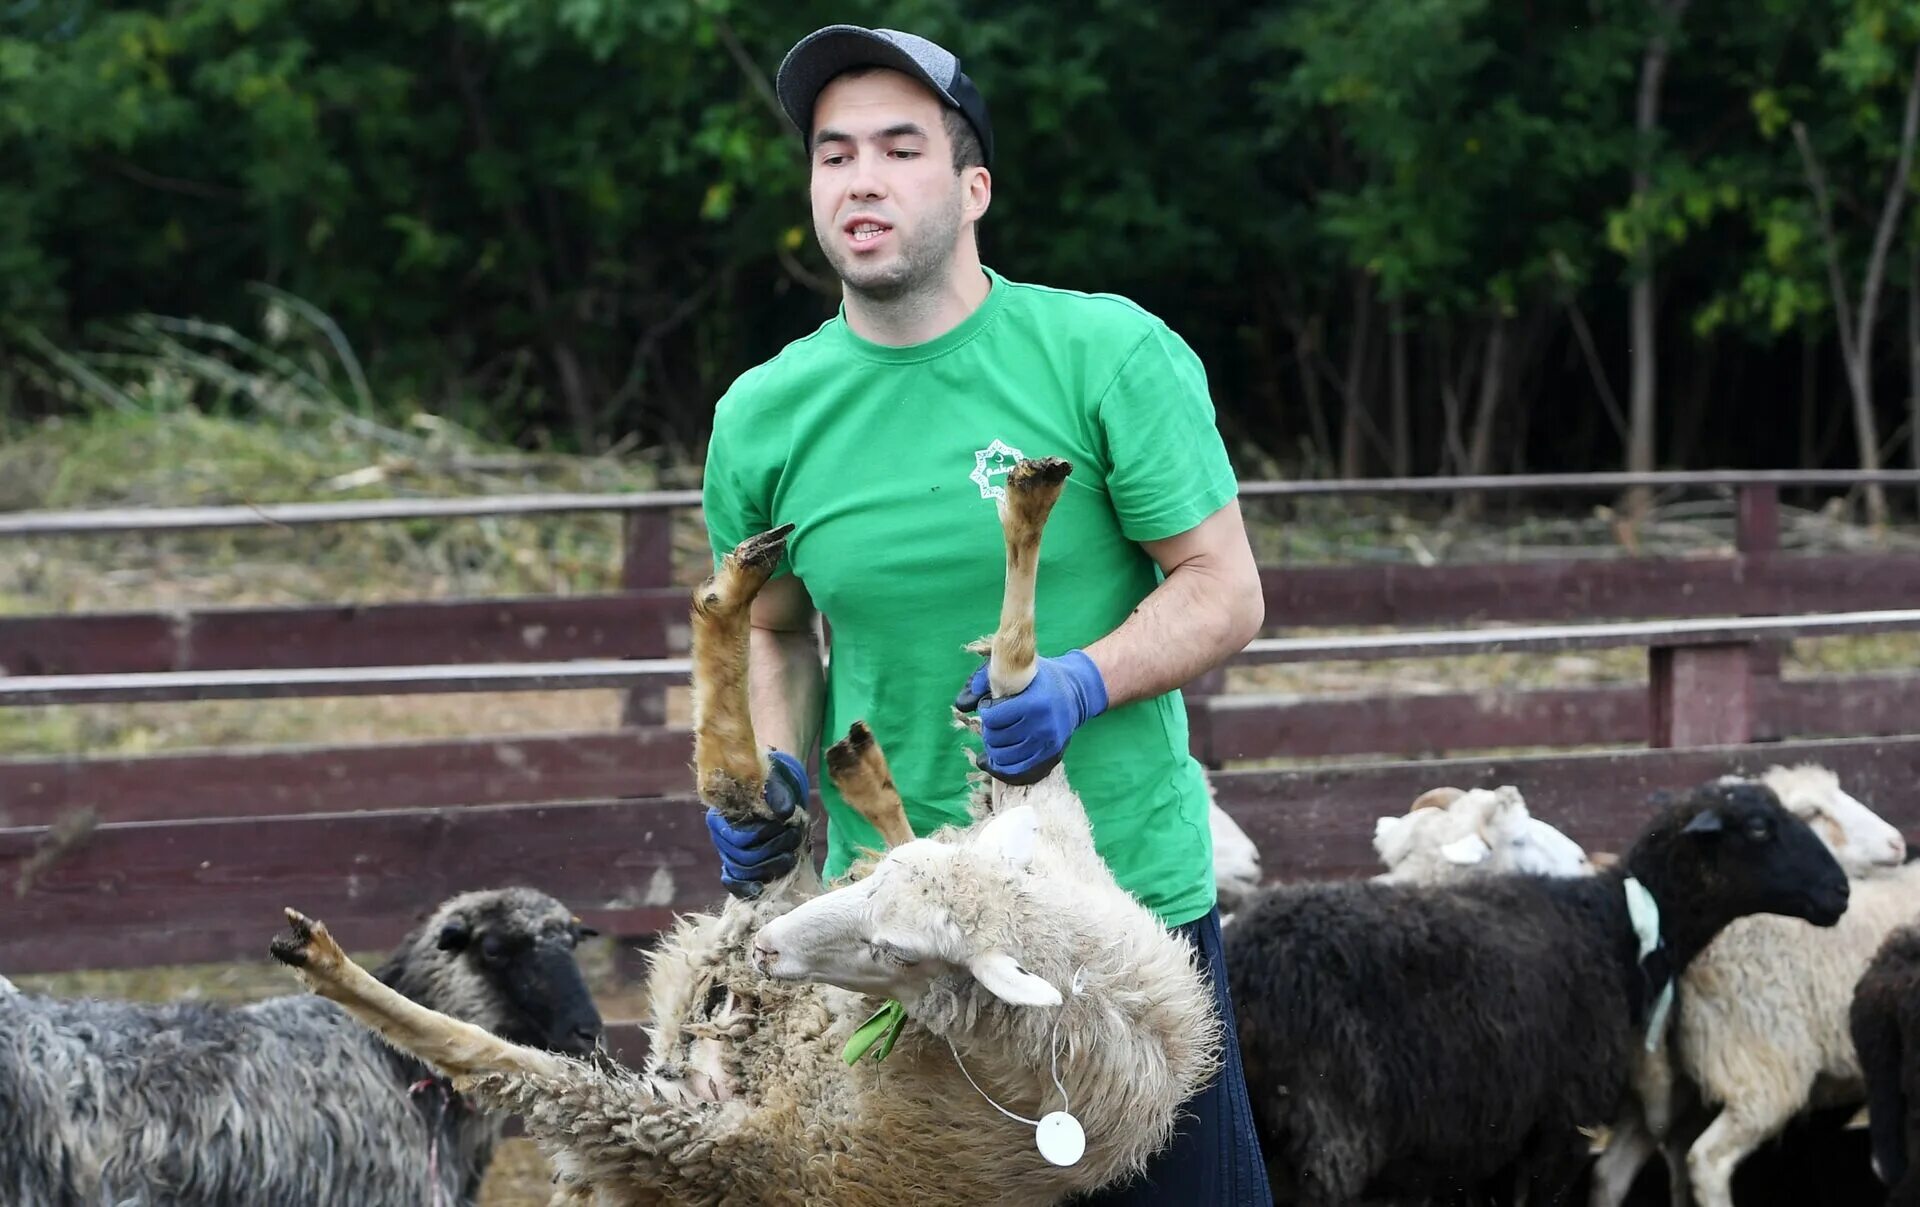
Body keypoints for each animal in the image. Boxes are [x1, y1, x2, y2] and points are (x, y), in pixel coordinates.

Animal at [264, 454, 1221, 1205]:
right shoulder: (1045, 827)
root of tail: (708, 1023)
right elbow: (1017, 680)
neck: (1082, 982)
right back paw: (767, 597)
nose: (777, 948)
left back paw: (328, 961)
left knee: (502, 1058)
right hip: (768, 910)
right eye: (879, 895)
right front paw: (1026, 518)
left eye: (900, 954)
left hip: (680, 1136)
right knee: (762, 794)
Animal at [1221, 771, 1850, 1205]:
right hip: (1327, 1143)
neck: (1613, 925)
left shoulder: (1482, 1143)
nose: (1840, 891)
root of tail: (1243, 962)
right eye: (1761, 828)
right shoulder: (1559, 1128)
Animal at [1582, 763, 1912, 1205]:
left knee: (1610, 1174)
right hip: (1761, 1073)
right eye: (1812, 813)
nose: (1897, 842)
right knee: (1706, 1161)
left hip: (1665, 1089)